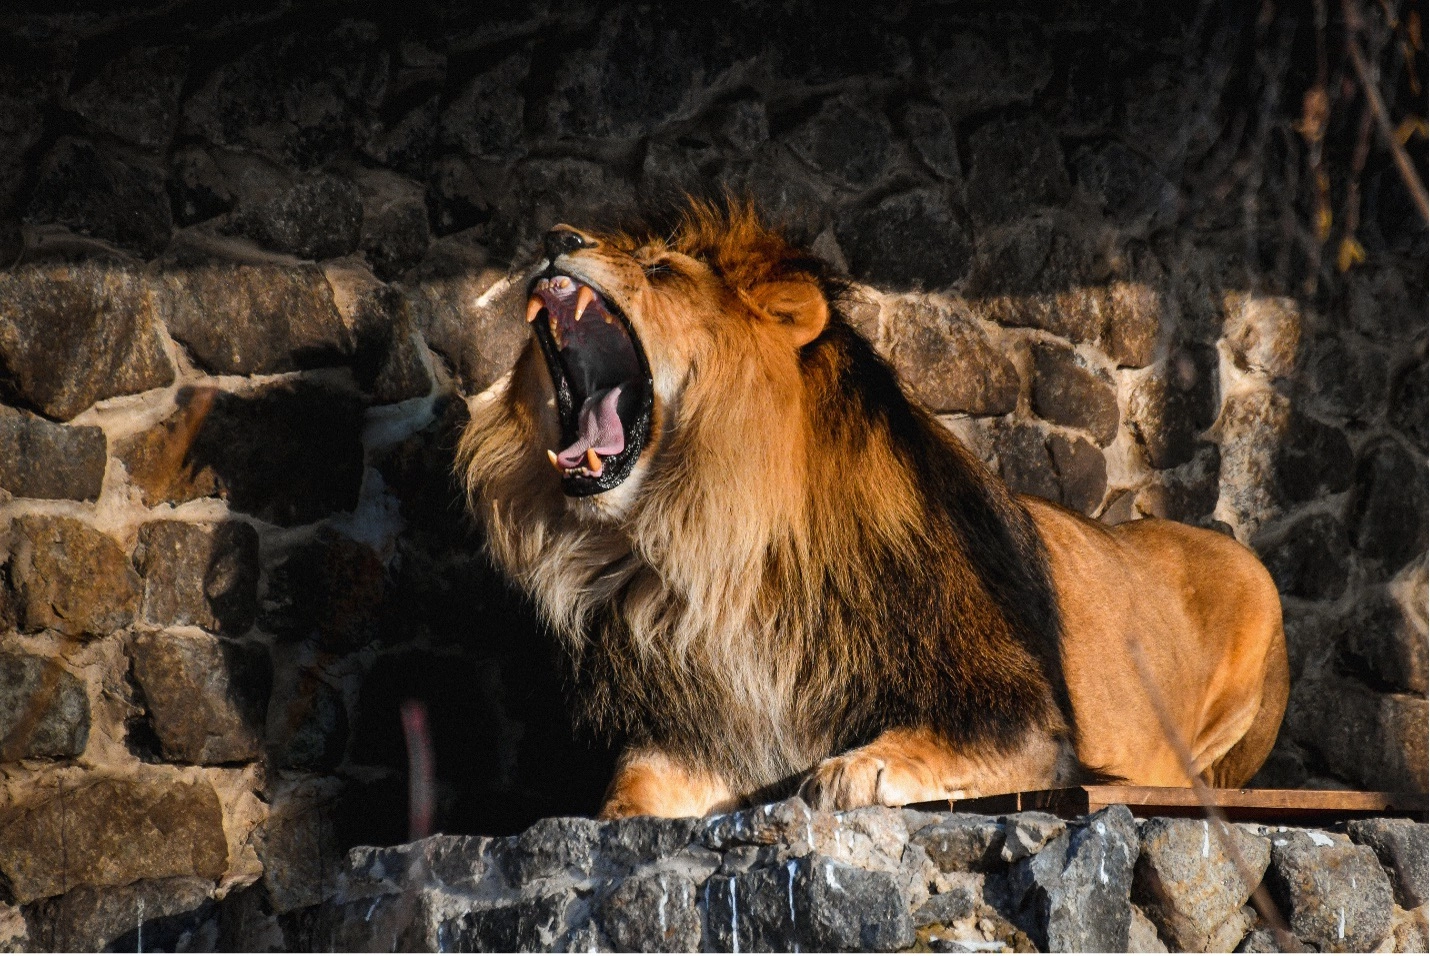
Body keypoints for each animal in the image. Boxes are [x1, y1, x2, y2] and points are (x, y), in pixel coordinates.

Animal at [454, 197, 1287, 817]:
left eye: (659, 269)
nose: (557, 238)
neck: (715, 544)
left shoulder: (1026, 721)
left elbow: (945, 745)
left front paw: (858, 769)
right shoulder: (702, 729)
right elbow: (626, 797)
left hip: (1255, 596)